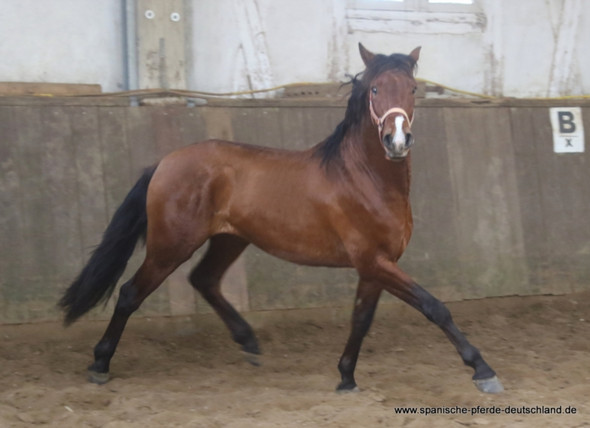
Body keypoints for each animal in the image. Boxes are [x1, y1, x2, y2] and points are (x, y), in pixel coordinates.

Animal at [59, 44, 504, 394]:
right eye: (376, 89)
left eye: (412, 90)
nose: (397, 141)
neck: (365, 178)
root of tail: (164, 162)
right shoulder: (374, 261)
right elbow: (434, 307)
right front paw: (482, 370)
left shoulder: (376, 266)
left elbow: (361, 319)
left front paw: (346, 377)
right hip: (171, 245)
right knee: (130, 293)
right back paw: (100, 365)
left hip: (229, 239)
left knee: (204, 280)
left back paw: (249, 344)